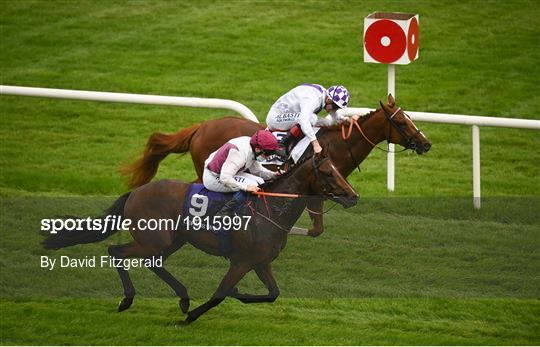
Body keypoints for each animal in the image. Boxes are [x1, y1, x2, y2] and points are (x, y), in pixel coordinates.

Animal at [43, 154, 358, 324]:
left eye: (339, 169)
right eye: (328, 172)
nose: (353, 196)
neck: (271, 210)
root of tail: (136, 192)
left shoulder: (260, 262)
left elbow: (272, 294)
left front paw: (236, 294)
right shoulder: (241, 262)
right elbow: (220, 294)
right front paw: (191, 318)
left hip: (171, 240)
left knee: (152, 262)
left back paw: (182, 298)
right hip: (153, 240)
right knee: (115, 251)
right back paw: (128, 300)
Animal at [122, 94, 430, 238]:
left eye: (409, 117)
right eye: (401, 122)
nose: (426, 143)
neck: (336, 144)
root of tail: (201, 126)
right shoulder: (316, 188)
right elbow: (315, 229)